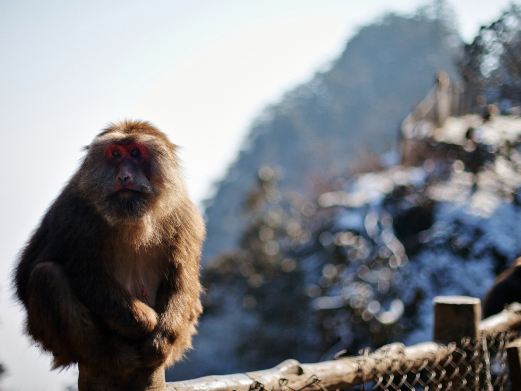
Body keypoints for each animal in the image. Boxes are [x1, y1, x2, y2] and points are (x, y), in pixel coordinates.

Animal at [13, 120, 204, 388]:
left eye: (135, 153)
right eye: (115, 154)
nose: (124, 176)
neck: (132, 219)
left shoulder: (185, 216)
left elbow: (182, 279)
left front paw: (160, 340)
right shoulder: (73, 212)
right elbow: (71, 272)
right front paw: (144, 320)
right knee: (46, 275)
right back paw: (110, 355)